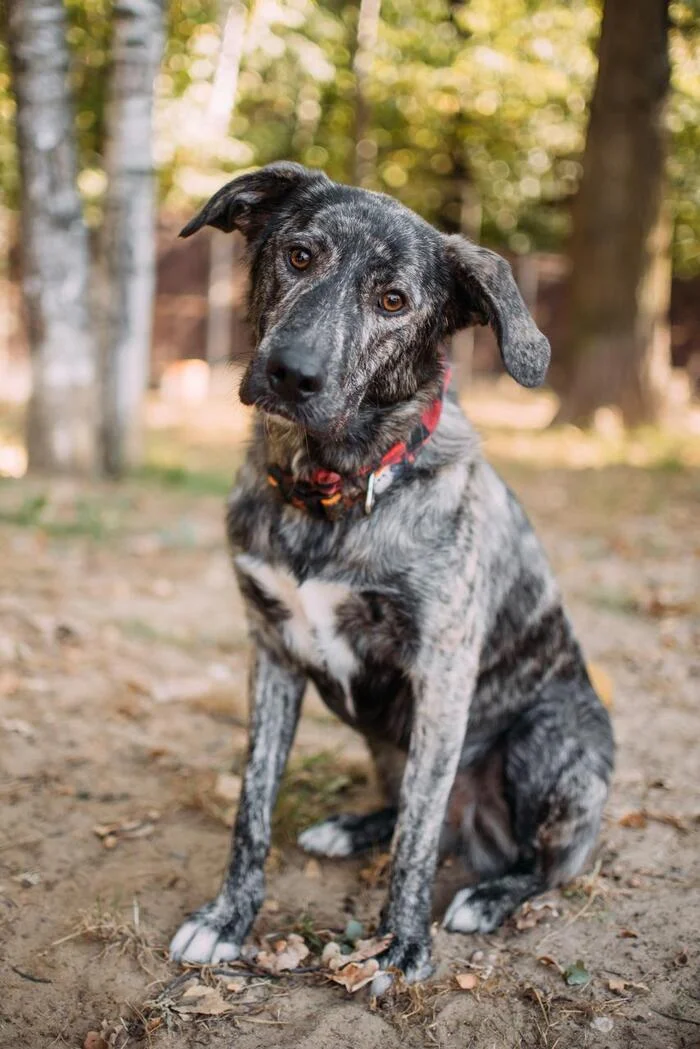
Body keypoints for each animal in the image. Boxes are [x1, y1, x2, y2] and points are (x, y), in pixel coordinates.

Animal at [167, 163, 612, 990]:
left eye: (394, 301)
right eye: (299, 255)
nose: (292, 373)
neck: (329, 492)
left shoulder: (442, 671)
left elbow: (415, 839)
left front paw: (401, 945)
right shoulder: (271, 653)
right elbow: (252, 805)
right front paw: (226, 919)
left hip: (550, 737)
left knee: (538, 861)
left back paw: (490, 894)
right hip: (387, 739)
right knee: (410, 806)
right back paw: (353, 826)